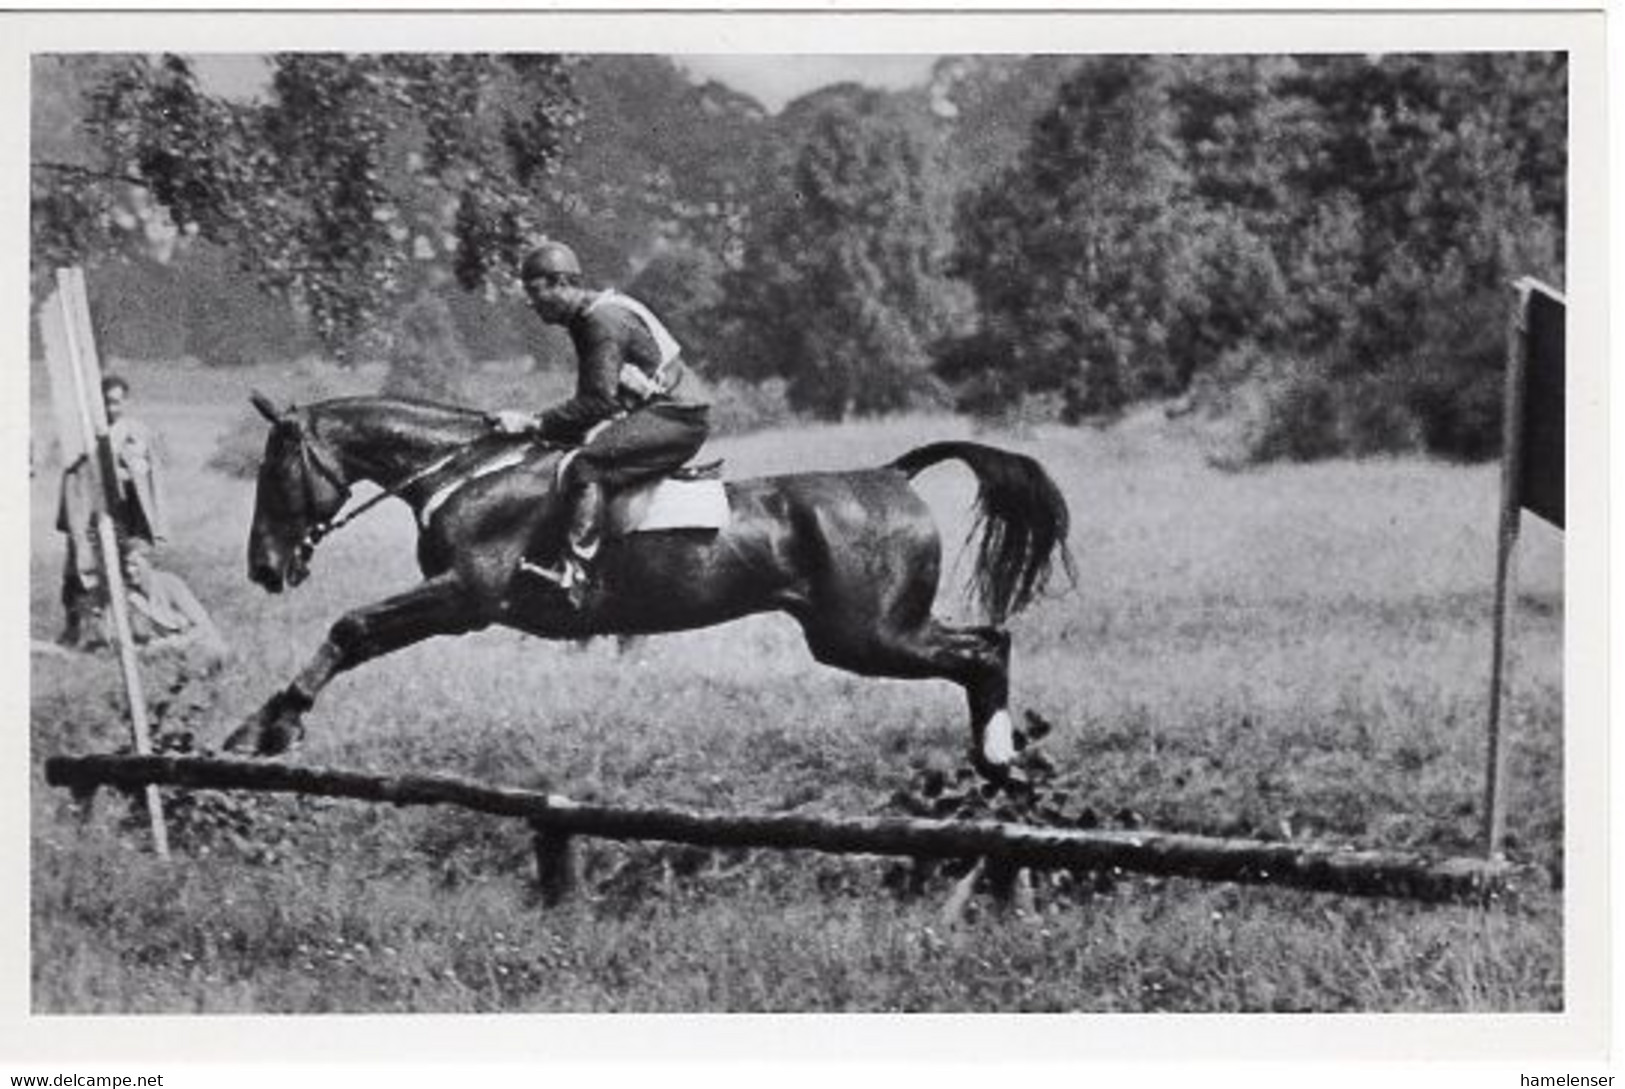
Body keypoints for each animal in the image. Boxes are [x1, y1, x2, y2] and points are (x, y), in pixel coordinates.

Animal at [222, 396, 1072, 780]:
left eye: (274, 473)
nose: (264, 566)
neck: (468, 474)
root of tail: (892, 475)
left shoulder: (465, 596)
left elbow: (351, 627)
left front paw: (265, 728)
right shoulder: (457, 600)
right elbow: (357, 633)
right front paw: (265, 723)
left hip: (867, 634)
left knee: (983, 647)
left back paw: (998, 755)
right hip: (867, 634)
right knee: (983, 645)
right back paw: (996, 760)